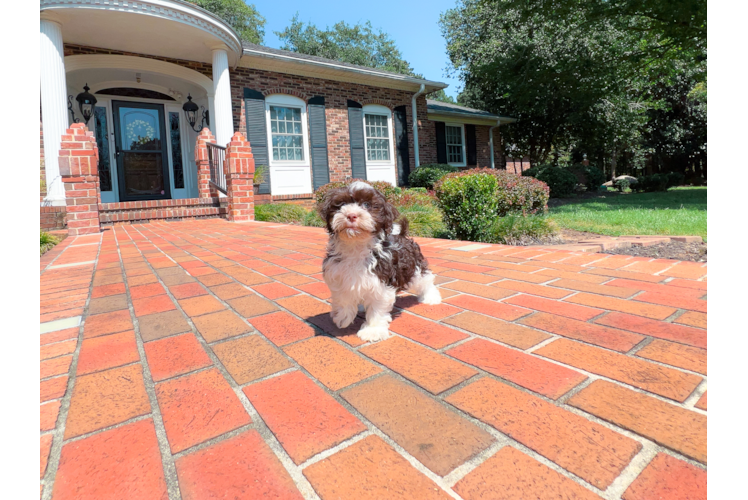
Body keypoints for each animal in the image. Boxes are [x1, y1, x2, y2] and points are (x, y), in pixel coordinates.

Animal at [318, 182, 442, 342]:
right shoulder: (338, 274)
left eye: (366, 205)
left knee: (425, 280)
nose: (351, 215)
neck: (356, 246)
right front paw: (343, 317)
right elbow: (343, 297)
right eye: (342, 204)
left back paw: (431, 296)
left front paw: (373, 330)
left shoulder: (381, 281)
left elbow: (377, 308)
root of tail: (402, 235)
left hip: (414, 268)